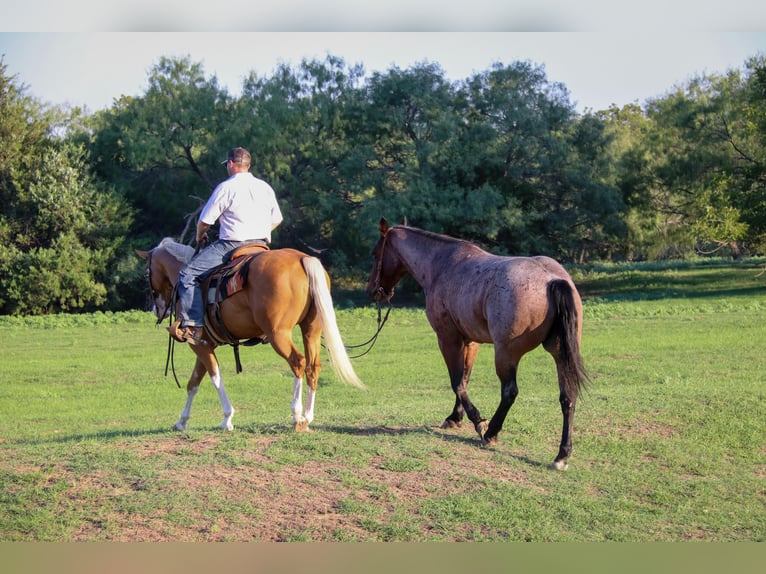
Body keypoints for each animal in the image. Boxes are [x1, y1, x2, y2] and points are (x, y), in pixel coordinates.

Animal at [136, 237, 364, 432]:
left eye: (147, 273)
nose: (156, 309)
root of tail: (301, 259)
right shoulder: (204, 344)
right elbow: (193, 383)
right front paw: (181, 421)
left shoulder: (198, 344)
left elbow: (215, 377)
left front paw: (227, 419)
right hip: (311, 330)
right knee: (312, 366)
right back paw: (307, 416)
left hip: (278, 334)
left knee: (298, 362)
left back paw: (296, 416)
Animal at [368, 220, 592, 472]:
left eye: (375, 253)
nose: (373, 290)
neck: (443, 265)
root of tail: (552, 280)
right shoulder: (470, 341)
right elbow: (464, 379)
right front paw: (455, 417)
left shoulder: (448, 339)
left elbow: (456, 382)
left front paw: (477, 421)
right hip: (559, 354)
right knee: (567, 397)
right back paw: (562, 455)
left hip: (506, 354)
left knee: (510, 392)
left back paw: (492, 432)